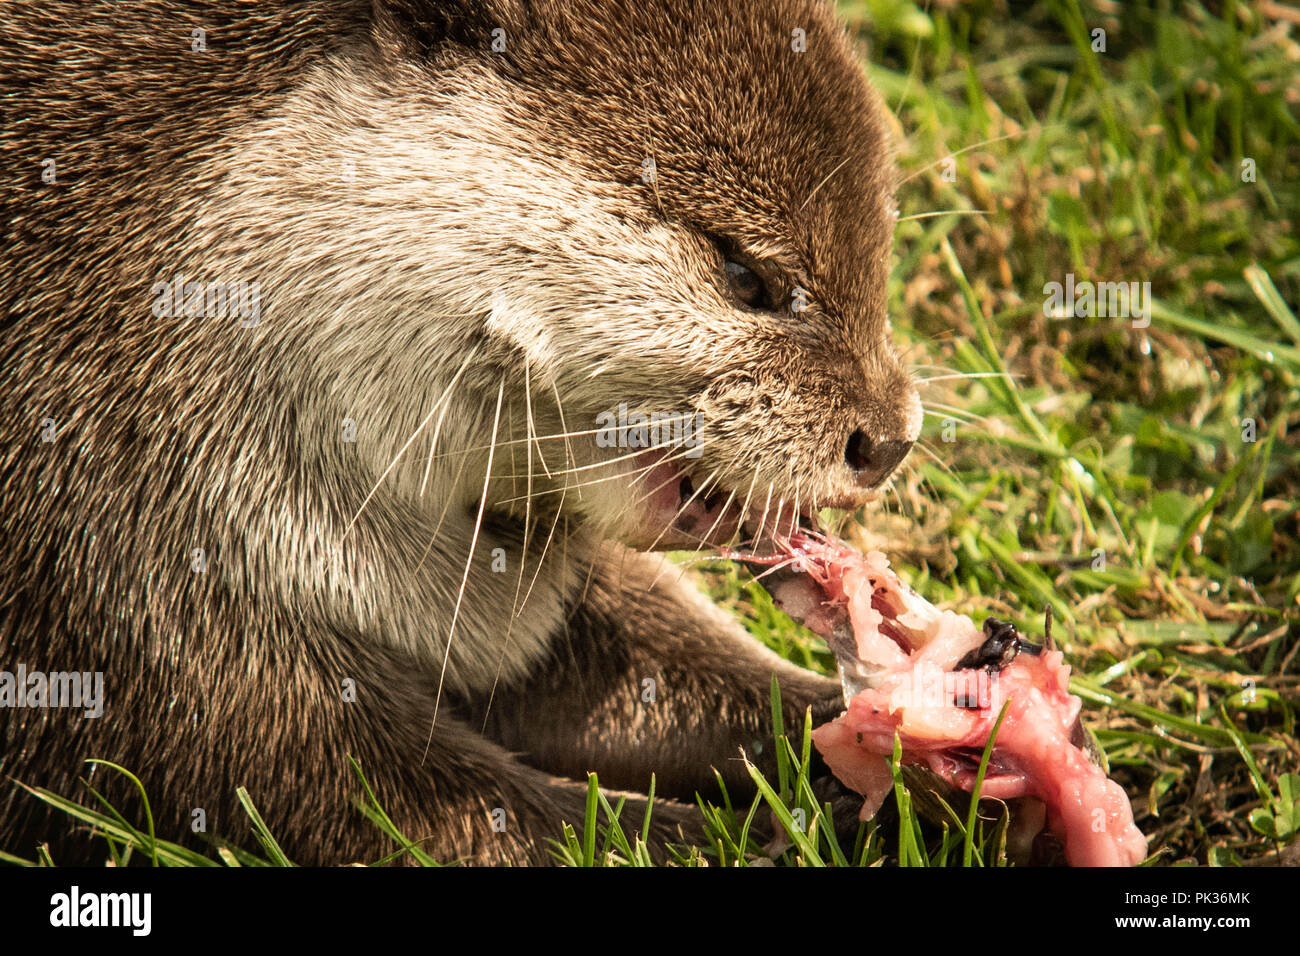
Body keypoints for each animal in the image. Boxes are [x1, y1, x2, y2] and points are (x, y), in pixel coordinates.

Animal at [7, 0, 925, 868]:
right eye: (744, 274)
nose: (887, 440)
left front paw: (916, 737)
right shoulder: (126, 597)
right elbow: (428, 811)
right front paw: (786, 830)